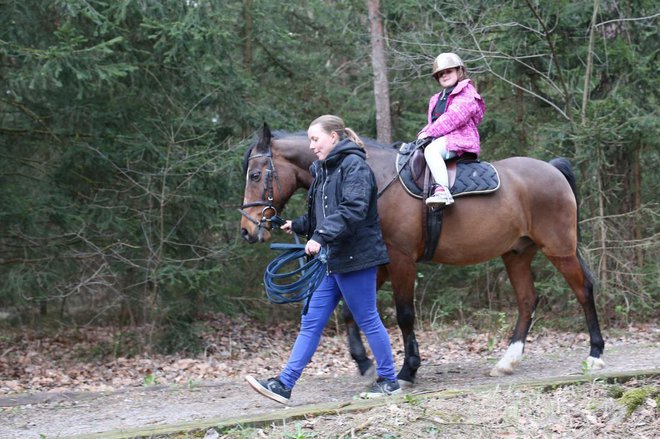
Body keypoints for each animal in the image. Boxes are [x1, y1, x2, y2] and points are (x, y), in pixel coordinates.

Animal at [240, 123, 604, 384]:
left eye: (256, 175)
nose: (247, 229)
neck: (377, 178)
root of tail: (552, 169)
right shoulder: (380, 263)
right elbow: (350, 311)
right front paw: (365, 363)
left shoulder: (401, 260)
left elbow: (404, 314)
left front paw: (408, 369)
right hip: (516, 254)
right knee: (528, 301)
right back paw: (507, 361)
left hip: (559, 248)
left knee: (583, 290)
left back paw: (595, 354)